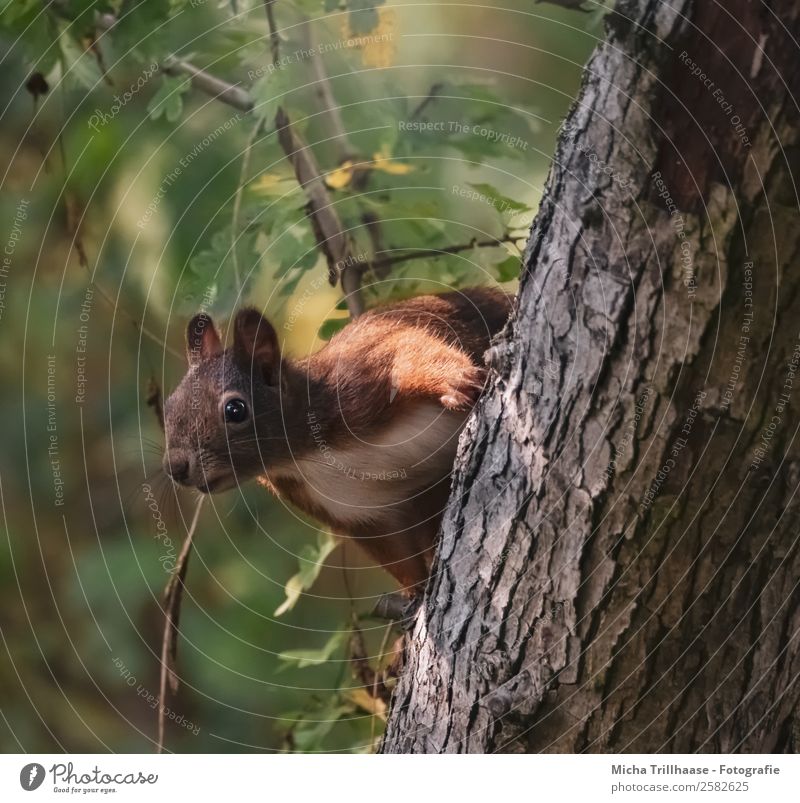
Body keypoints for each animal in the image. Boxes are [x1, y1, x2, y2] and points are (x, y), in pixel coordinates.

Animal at [162, 286, 512, 592]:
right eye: (168, 406)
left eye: (235, 410)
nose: (175, 467)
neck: (304, 456)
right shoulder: (354, 513)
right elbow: (395, 555)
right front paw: (417, 596)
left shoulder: (360, 373)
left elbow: (408, 352)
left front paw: (455, 380)